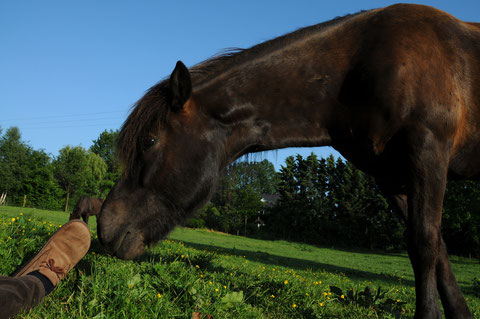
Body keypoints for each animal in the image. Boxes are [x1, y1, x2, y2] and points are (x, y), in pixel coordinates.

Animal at [95, 3, 478, 318]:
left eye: (149, 141)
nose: (105, 228)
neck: (365, 66)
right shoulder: (390, 176)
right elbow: (438, 250)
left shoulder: (427, 153)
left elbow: (424, 244)